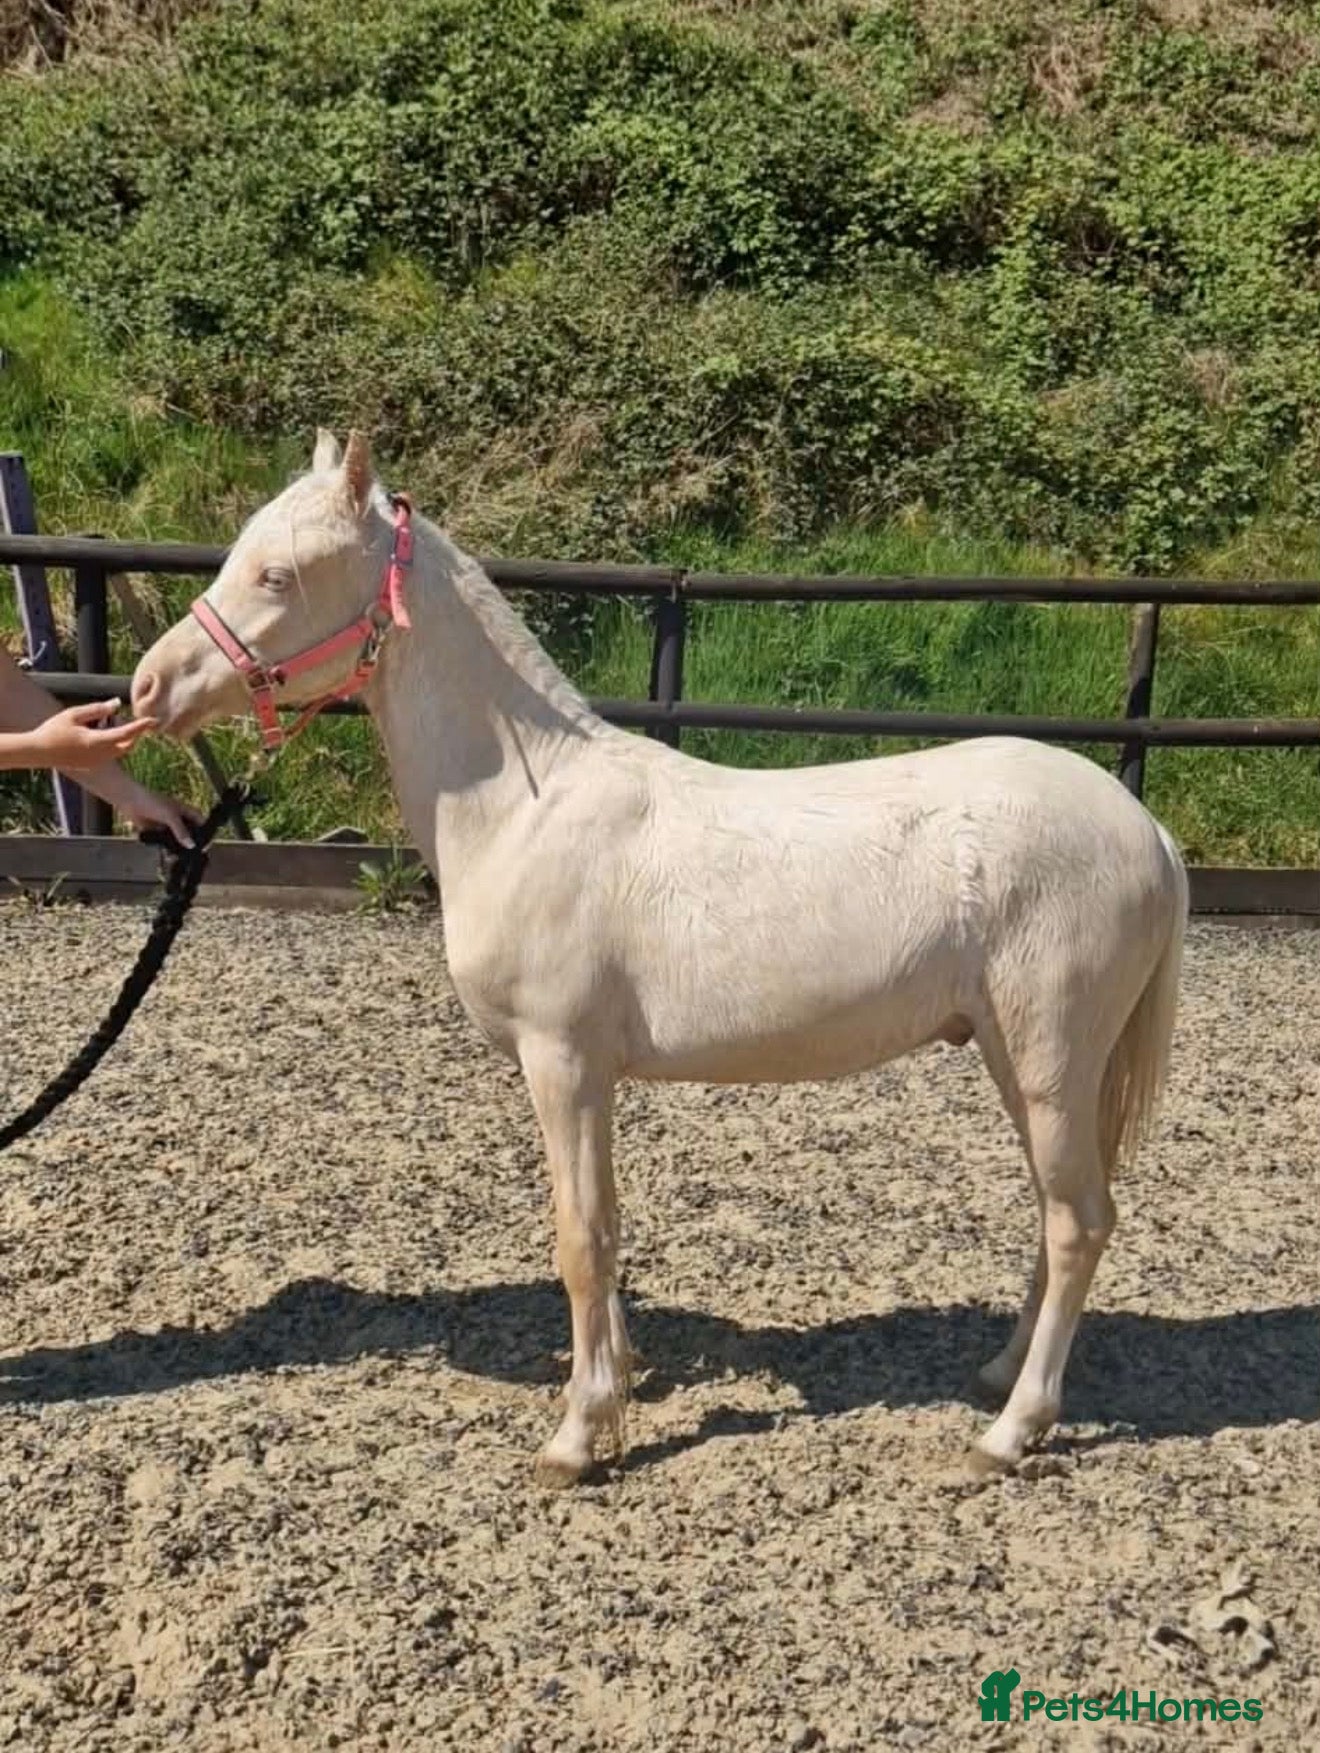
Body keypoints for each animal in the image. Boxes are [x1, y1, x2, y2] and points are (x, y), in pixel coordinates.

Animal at [132, 429, 1189, 1487]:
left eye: (277, 573)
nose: (149, 686)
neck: (526, 804)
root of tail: (1147, 828)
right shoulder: (590, 1072)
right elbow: (603, 1226)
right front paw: (619, 1384)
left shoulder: (561, 1061)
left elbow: (581, 1237)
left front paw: (577, 1435)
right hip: (1020, 1060)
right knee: (1057, 1213)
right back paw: (999, 1373)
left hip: (1050, 1058)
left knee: (1079, 1220)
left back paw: (1012, 1427)